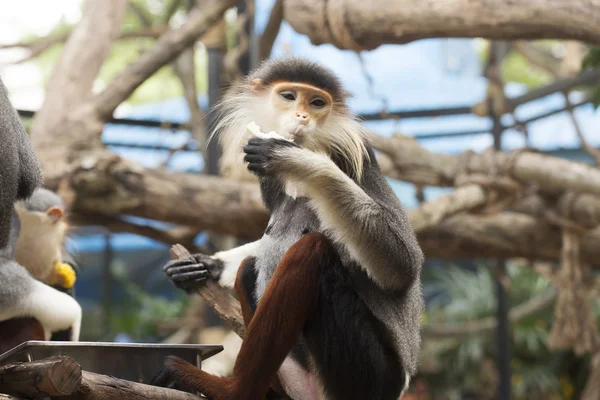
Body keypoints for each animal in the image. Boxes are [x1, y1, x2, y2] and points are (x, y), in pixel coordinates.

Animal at [157, 58, 424, 400]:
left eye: (317, 103)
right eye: (289, 96)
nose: (302, 116)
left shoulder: (357, 160)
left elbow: (403, 267)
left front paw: (293, 159)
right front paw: (206, 265)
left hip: (369, 376)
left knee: (311, 252)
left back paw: (228, 389)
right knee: (249, 267)